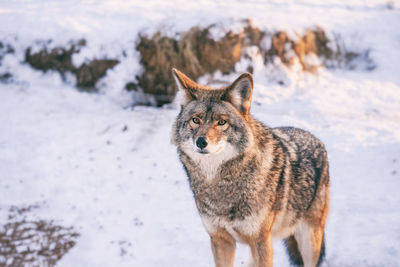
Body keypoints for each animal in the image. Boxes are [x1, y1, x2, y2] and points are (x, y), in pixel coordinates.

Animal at [170, 68, 330, 267]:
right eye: (196, 120)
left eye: (222, 122)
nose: (201, 142)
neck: (220, 187)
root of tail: (316, 139)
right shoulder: (220, 240)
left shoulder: (261, 241)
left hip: (308, 239)